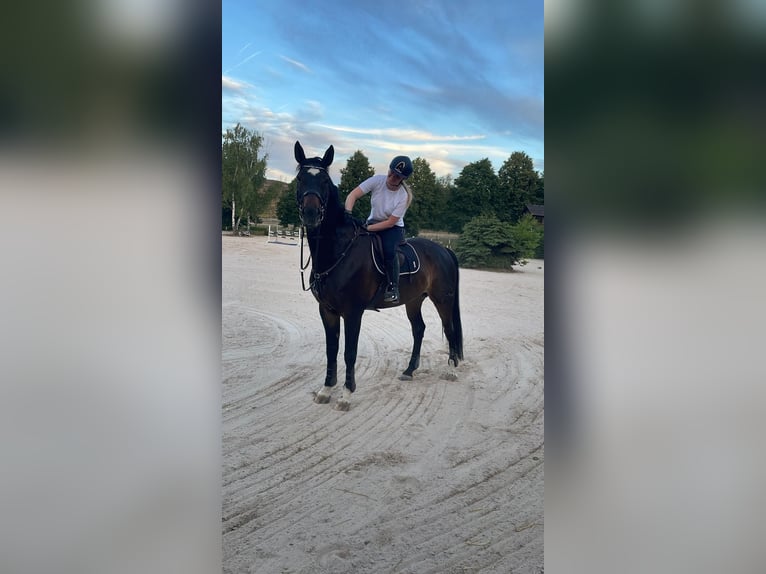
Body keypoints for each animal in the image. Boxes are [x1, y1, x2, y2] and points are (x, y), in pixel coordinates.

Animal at [294, 141, 464, 410]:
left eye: (324, 181)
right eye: (300, 178)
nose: (311, 213)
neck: (339, 251)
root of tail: (443, 249)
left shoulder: (352, 312)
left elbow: (349, 352)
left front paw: (346, 395)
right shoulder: (327, 311)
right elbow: (331, 350)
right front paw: (326, 390)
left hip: (443, 300)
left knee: (450, 330)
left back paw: (451, 370)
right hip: (414, 300)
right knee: (419, 329)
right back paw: (409, 370)